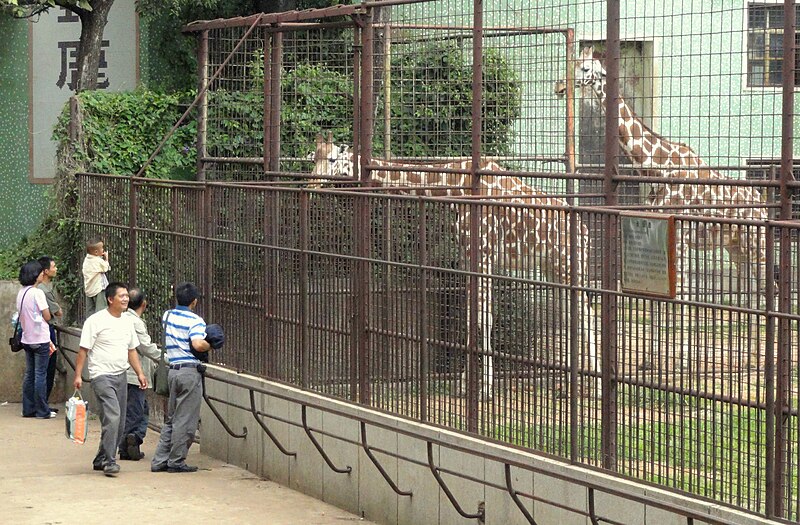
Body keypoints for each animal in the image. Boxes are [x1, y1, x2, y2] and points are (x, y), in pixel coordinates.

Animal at [310, 131, 596, 398]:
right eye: (313, 158)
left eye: (333, 158)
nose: (313, 184)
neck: (456, 184)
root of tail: (585, 231)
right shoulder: (470, 254)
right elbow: (473, 315)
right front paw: (464, 383)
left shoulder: (483, 253)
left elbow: (483, 317)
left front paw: (484, 389)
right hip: (553, 270)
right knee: (572, 315)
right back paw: (568, 383)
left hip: (572, 266)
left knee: (587, 313)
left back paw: (592, 384)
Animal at [560, 46, 772, 294]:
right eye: (574, 63)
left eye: (585, 68)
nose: (559, 86)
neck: (657, 169)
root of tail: (763, 203)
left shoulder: (678, 235)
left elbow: (678, 292)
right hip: (735, 245)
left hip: (756, 244)